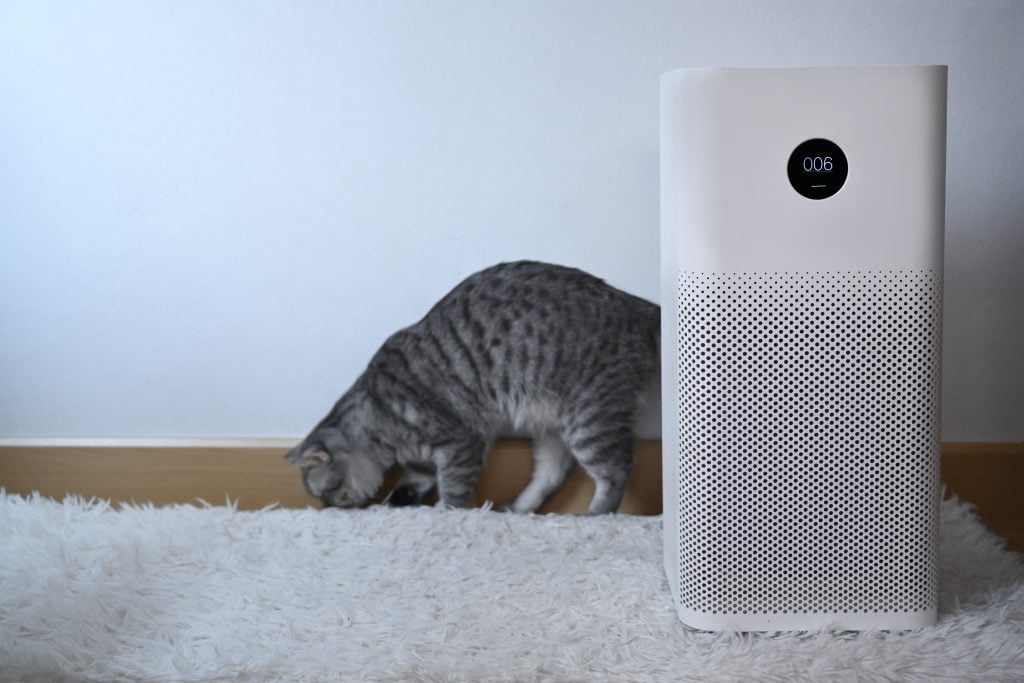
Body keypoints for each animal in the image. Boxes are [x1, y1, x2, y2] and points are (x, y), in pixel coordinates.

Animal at [284, 260, 659, 511]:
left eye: (326, 492)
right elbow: (410, 485)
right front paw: (394, 504)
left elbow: (453, 491)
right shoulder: (424, 462)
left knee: (616, 471)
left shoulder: (461, 444)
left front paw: (448, 512)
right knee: (551, 475)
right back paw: (517, 508)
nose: (329, 509)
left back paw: (593, 515)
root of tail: (634, 304)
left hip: (589, 419)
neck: (379, 417)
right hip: (550, 425)